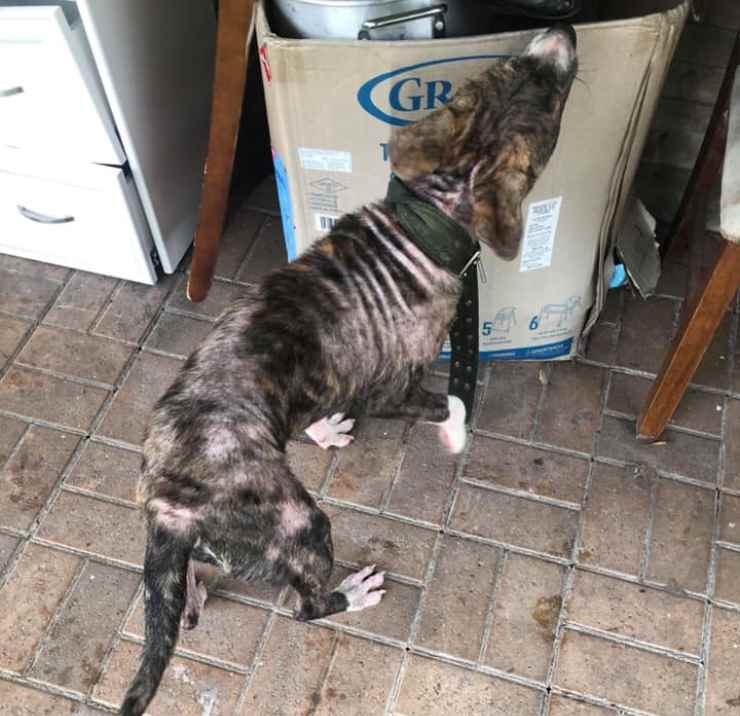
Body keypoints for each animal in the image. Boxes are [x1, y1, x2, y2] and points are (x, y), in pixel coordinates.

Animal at [120, 24, 577, 716]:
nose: (562, 33)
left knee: (188, 587)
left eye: (504, 69)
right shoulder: (396, 388)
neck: (427, 214)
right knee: (304, 606)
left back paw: (193, 591)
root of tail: (171, 512)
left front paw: (324, 425)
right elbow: (451, 399)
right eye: (551, 108)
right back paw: (351, 596)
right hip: (300, 525)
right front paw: (455, 431)